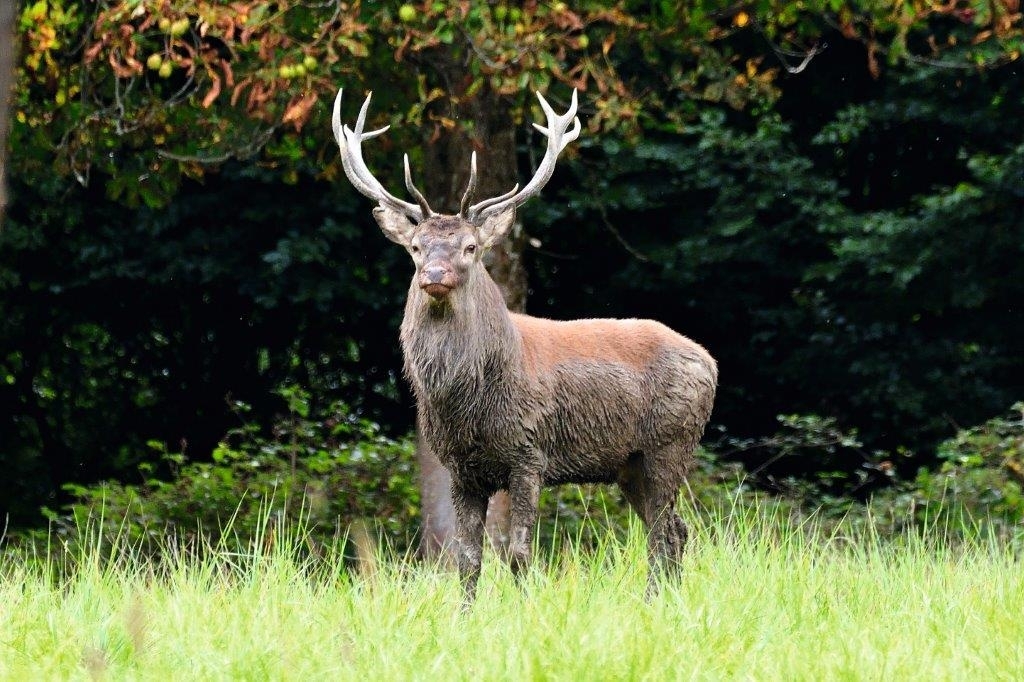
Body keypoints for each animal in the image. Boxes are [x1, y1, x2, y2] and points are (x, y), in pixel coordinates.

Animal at [331, 86, 717, 601]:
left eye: (471, 247)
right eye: (415, 247)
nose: (434, 274)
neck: (466, 403)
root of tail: (710, 361)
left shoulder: (529, 453)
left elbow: (518, 553)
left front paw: (527, 608)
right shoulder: (460, 468)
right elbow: (467, 559)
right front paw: (465, 613)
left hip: (670, 444)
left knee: (663, 530)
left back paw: (655, 599)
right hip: (629, 463)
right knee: (675, 529)